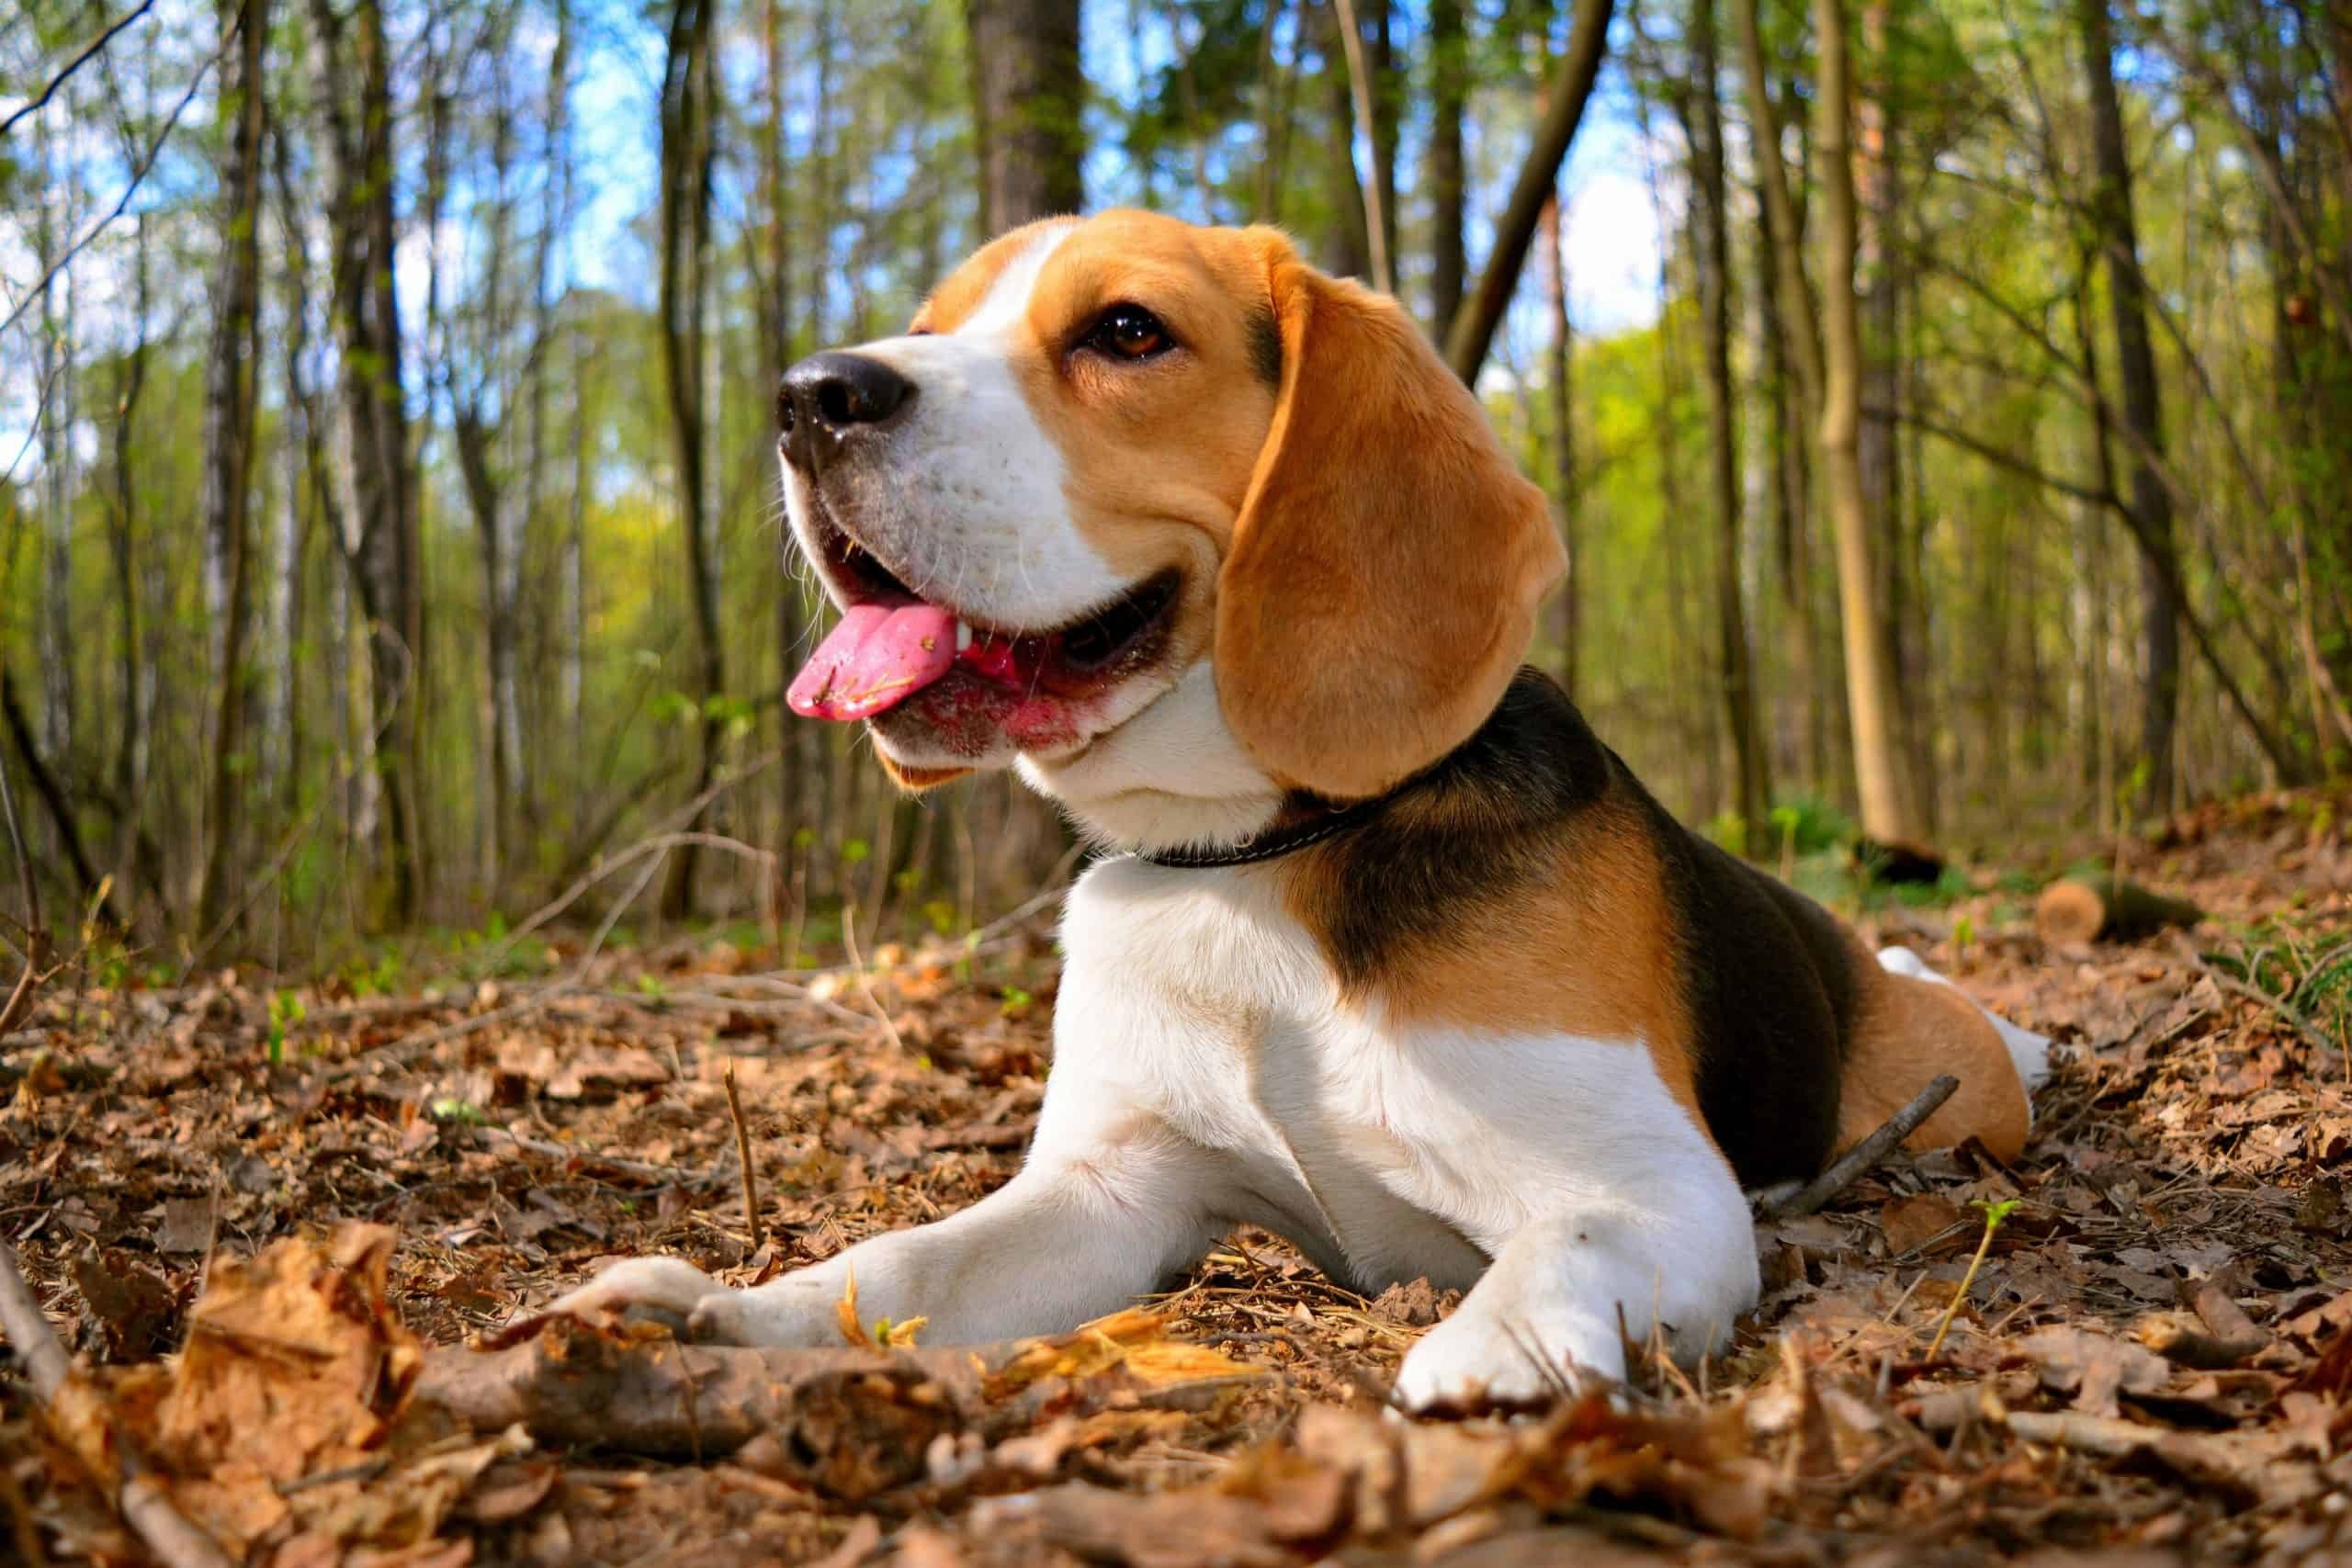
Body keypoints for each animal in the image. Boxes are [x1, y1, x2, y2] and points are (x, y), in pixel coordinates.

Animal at [545, 211, 2041, 1410]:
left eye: (1127, 330)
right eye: (929, 329)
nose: (810, 394)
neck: (1250, 858)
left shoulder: (1657, 1186)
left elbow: (1562, 1252)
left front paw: (1491, 1359)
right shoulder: (1110, 1192)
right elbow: (902, 1260)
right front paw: (736, 1310)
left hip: (1955, 1098)